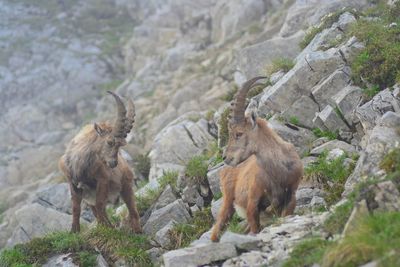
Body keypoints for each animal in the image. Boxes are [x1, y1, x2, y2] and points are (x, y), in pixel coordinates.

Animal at [58, 91, 141, 233]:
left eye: (120, 145)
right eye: (110, 142)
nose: (114, 163)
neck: (79, 165)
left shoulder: (102, 179)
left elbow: (100, 204)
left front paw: (107, 229)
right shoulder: (73, 184)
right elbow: (76, 208)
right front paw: (74, 231)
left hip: (126, 185)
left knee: (132, 209)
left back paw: (137, 231)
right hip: (89, 198)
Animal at [211, 77, 302, 243]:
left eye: (239, 133)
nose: (225, 157)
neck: (278, 172)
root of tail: (223, 171)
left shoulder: (292, 195)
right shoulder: (252, 202)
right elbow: (255, 226)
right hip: (227, 203)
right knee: (216, 231)